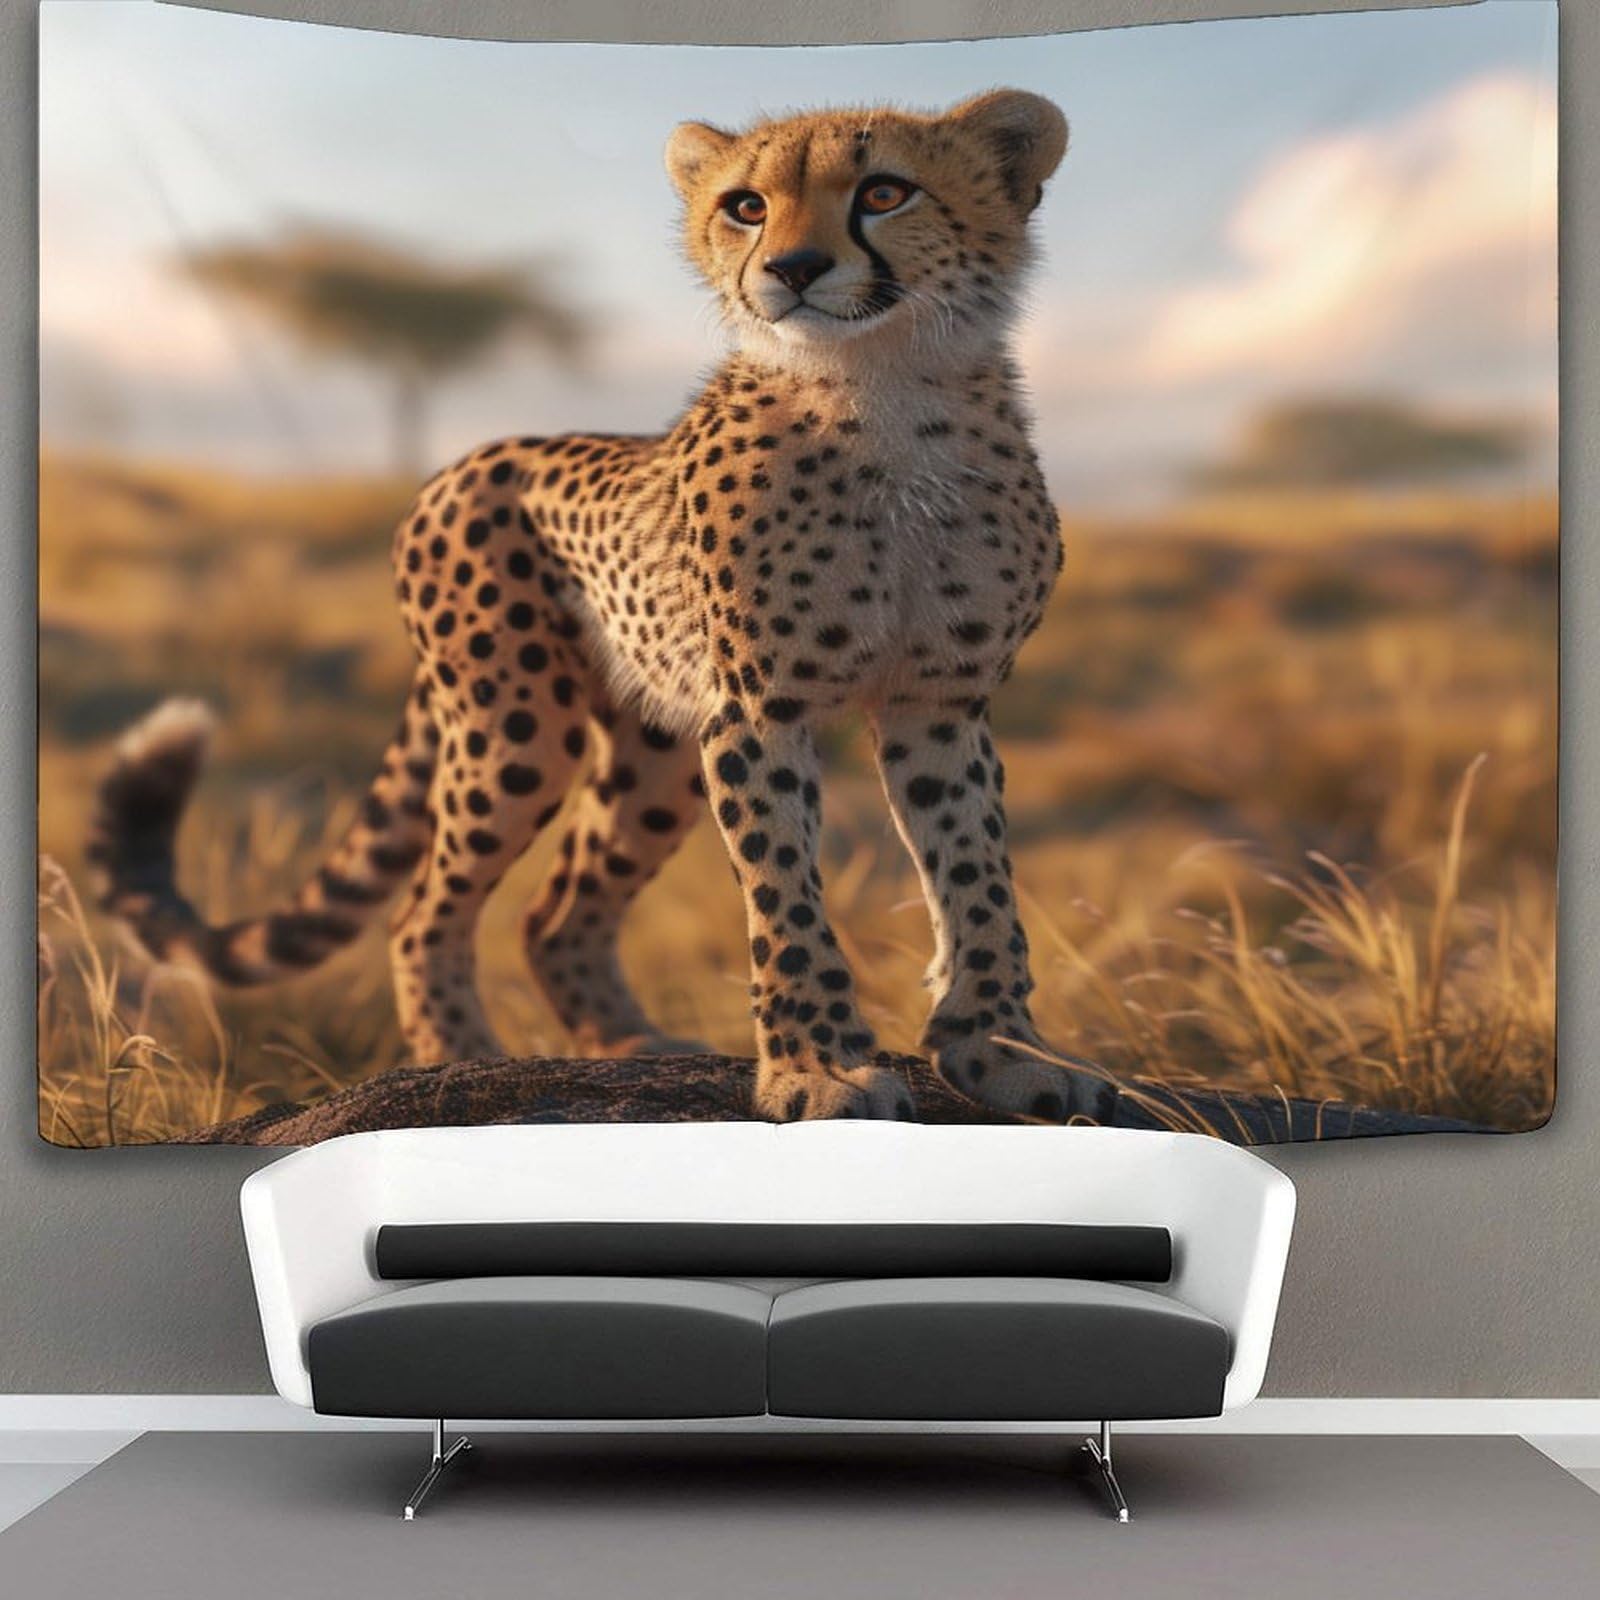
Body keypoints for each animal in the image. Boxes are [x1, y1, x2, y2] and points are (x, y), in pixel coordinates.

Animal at [89, 89, 1116, 1125]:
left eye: (884, 192)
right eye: (747, 206)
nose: (792, 268)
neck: (886, 392)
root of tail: (457, 464)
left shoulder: (938, 704)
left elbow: (977, 876)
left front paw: (1000, 1047)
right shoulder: (759, 711)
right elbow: (783, 894)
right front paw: (816, 1069)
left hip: (654, 755)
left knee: (554, 914)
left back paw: (631, 1044)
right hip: (514, 728)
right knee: (424, 911)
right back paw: (459, 1064)